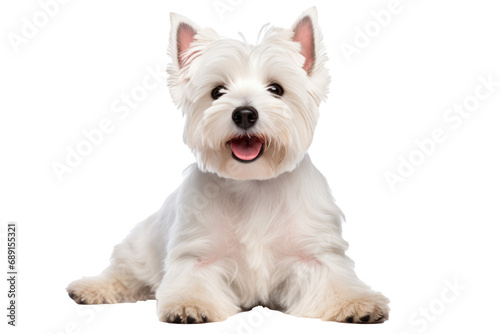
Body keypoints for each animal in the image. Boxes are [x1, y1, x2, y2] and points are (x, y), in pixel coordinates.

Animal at [66, 7, 388, 324]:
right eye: (217, 91)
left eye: (276, 89)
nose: (244, 114)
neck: (253, 183)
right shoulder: (197, 255)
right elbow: (191, 281)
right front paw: (189, 306)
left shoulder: (316, 254)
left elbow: (335, 280)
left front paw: (357, 303)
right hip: (141, 247)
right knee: (124, 272)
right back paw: (90, 288)